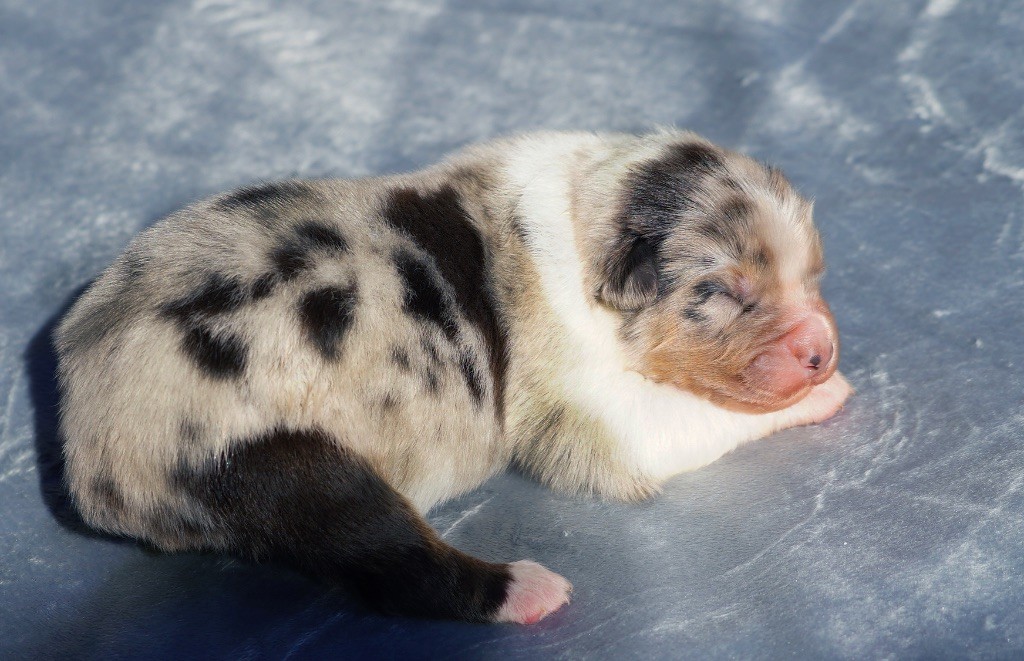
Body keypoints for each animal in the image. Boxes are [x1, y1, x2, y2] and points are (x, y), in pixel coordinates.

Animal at [58, 130, 856, 626]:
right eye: (720, 291)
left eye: (814, 273)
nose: (820, 351)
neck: (589, 211)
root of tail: (87, 449)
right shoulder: (601, 418)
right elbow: (694, 418)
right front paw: (828, 394)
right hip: (277, 465)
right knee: (386, 554)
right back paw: (520, 590)